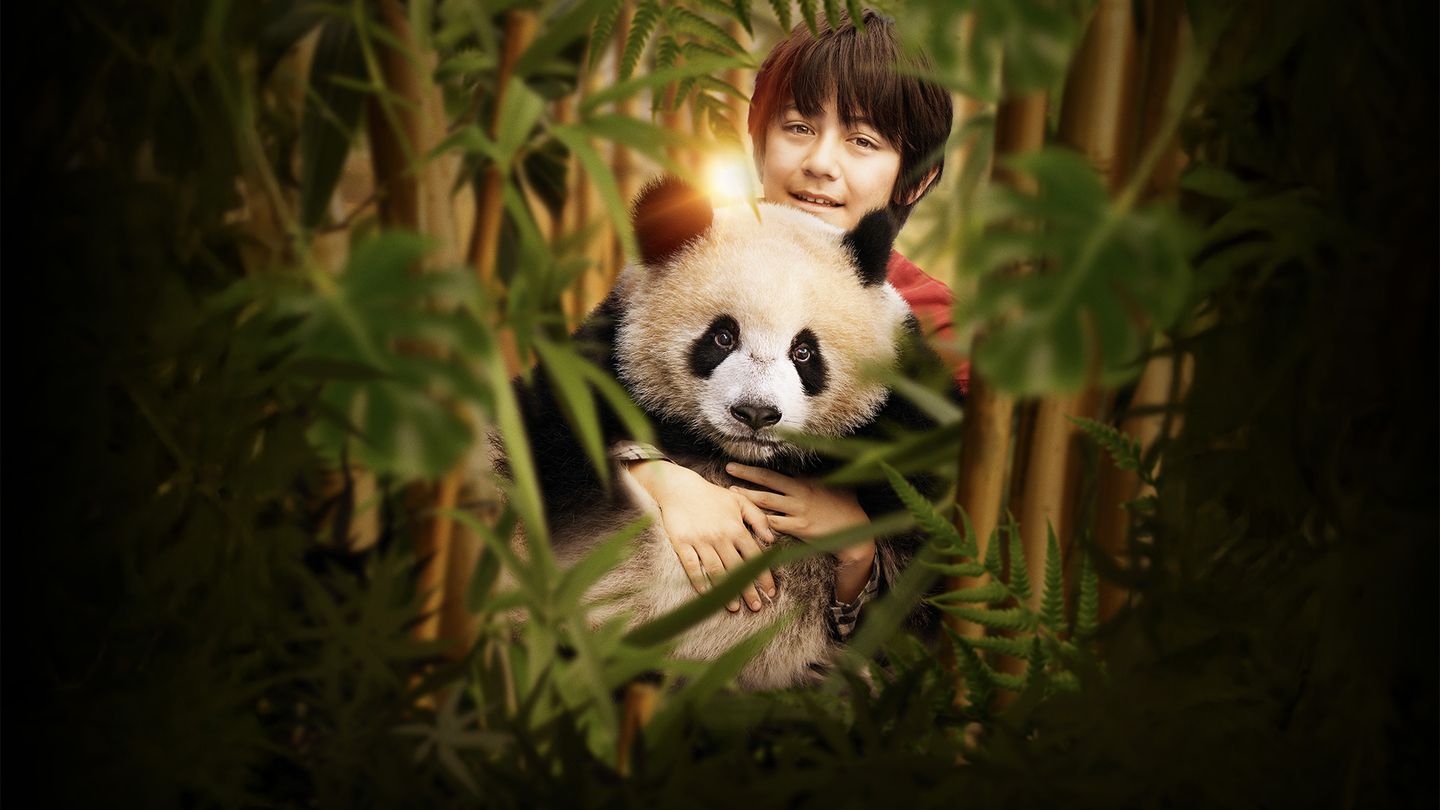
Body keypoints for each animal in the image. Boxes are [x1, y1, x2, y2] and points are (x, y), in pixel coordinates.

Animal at [511, 175, 951, 690]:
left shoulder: (905, 410)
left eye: (804, 352)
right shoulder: (600, 374)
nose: (756, 413)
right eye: (723, 337)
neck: (734, 457)